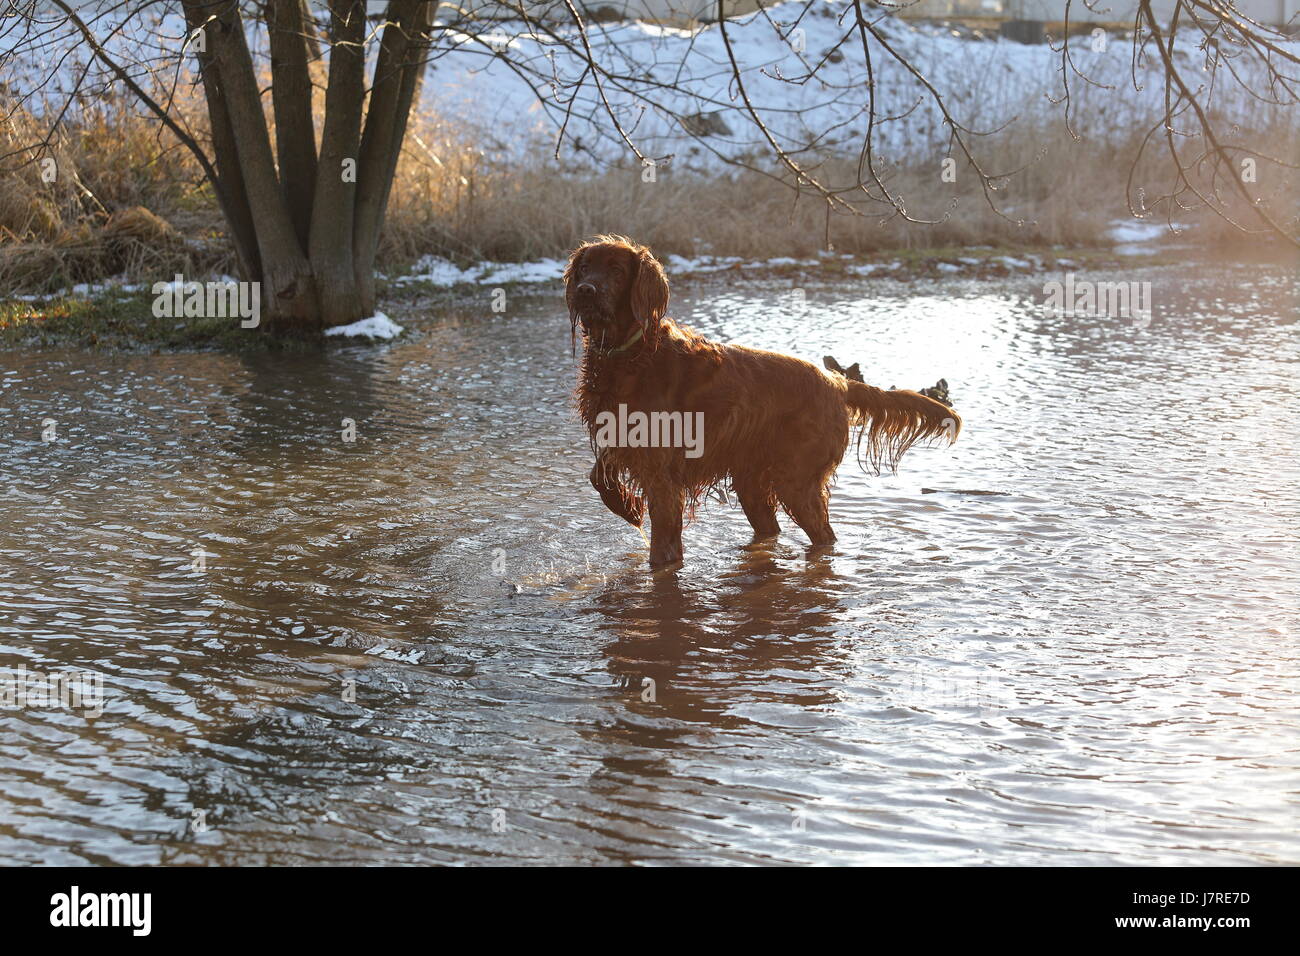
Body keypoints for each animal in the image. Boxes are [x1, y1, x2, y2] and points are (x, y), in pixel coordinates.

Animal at [564, 238, 961, 567]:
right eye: (585, 268)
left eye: (617, 270)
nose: (585, 290)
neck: (631, 355)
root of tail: (837, 382)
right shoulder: (625, 439)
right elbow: (597, 473)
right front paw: (627, 507)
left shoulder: (662, 471)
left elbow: (663, 544)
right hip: (753, 480)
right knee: (772, 529)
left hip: (796, 481)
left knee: (823, 535)